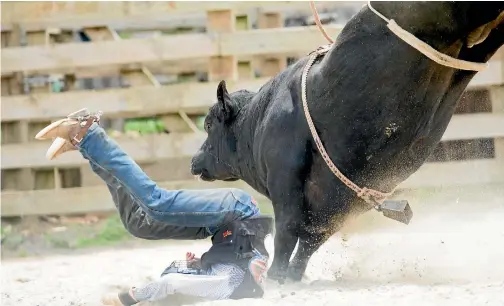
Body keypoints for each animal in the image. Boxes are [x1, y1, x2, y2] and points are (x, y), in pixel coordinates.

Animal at [190, 1, 504, 280]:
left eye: (208, 124)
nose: (195, 160)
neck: (261, 120)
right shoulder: (344, 202)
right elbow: (310, 241)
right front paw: (293, 275)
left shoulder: (284, 178)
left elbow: (287, 231)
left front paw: (275, 275)